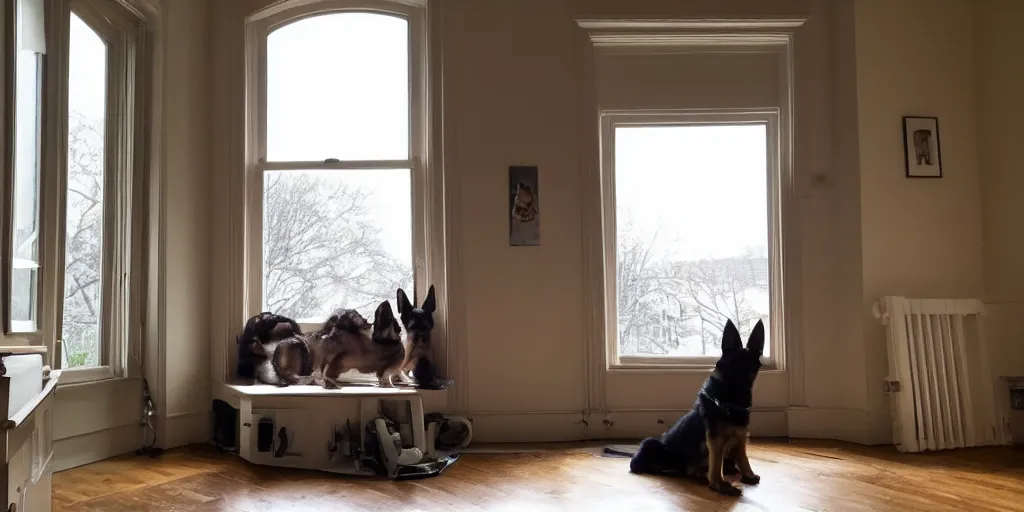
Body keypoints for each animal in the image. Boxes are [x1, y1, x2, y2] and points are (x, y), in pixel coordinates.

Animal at [626, 319, 765, 495]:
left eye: (751, 367)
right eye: (733, 365)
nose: (745, 400)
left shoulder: (740, 439)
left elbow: (743, 458)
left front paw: (748, 475)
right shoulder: (715, 440)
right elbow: (716, 463)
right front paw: (719, 485)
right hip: (651, 445)